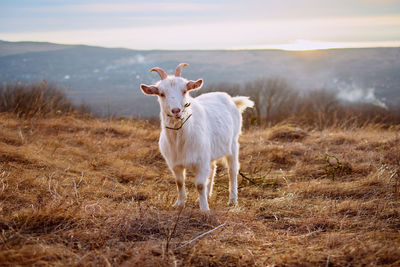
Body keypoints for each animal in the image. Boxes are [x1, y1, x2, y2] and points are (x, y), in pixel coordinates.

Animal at [141, 63, 253, 211]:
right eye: (161, 93)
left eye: (184, 91)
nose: (176, 111)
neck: (180, 140)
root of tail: (231, 100)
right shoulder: (175, 163)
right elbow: (179, 183)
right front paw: (179, 203)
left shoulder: (200, 161)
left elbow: (199, 185)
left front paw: (204, 209)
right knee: (212, 169)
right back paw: (209, 194)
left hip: (233, 144)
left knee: (232, 170)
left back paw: (232, 200)